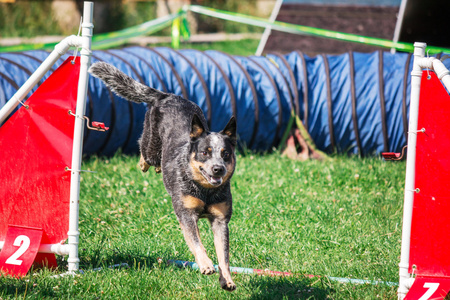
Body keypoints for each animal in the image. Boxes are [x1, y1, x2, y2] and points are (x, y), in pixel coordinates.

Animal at [86, 62, 237, 292]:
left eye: (225, 154)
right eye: (205, 152)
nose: (218, 169)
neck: (205, 191)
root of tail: (165, 95)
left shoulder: (220, 219)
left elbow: (224, 254)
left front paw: (227, 279)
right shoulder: (186, 214)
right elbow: (197, 242)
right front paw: (205, 264)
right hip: (151, 145)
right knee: (144, 150)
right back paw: (145, 163)